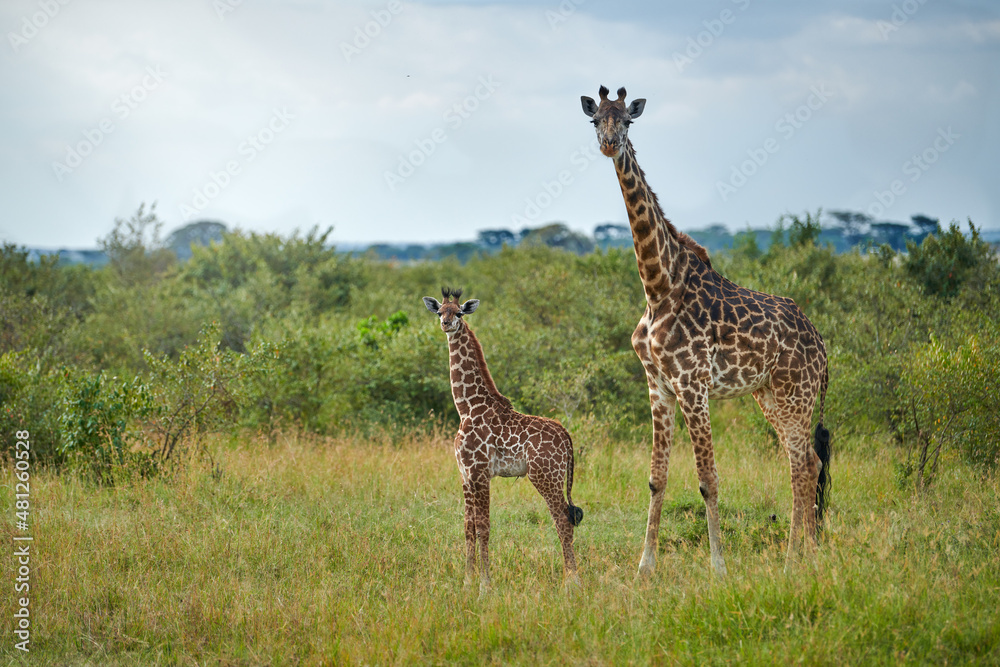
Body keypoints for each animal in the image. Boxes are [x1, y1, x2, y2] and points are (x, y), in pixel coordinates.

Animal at [422, 288, 584, 592]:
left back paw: (572, 582)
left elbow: (484, 527)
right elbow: (468, 528)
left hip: (545, 476)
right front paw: (467, 582)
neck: (467, 407)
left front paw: (485, 585)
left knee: (563, 520)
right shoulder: (465, 474)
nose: (446, 325)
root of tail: (566, 437)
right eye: (439, 312)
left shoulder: (480, 472)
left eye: (459, 313)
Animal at [581, 86, 831, 578]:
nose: (610, 145)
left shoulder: (692, 384)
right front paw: (644, 568)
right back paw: (799, 556)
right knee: (803, 462)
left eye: (628, 121)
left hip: (797, 393)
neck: (659, 287)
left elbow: (707, 480)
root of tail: (823, 347)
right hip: (770, 395)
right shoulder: (658, 384)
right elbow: (657, 479)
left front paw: (719, 567)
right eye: (596, 119)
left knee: (804, 464)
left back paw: (800, 559)